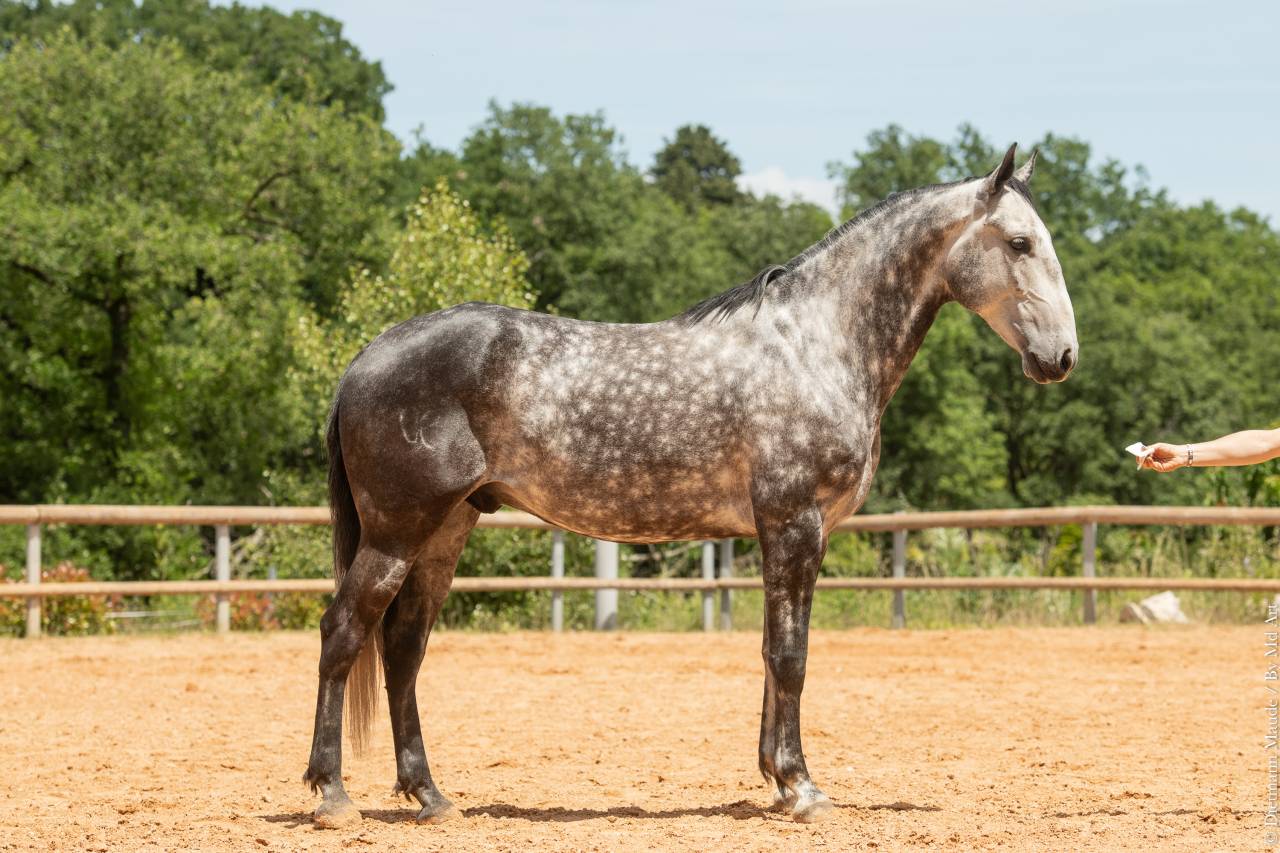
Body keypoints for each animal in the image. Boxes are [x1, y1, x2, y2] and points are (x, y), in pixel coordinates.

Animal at [303, 144, 1077, 826]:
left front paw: (775, 779)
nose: (1062, 356)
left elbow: (772, 652)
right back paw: (333, 795)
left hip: (446, 528)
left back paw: (429, 794)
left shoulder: (785, 535)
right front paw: (801, 787)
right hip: (398, 530)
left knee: (404, 647)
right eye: (1018, 242)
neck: (816, 346)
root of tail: (366, 358)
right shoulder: (795, 524)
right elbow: (790, 656)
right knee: (344, 631)